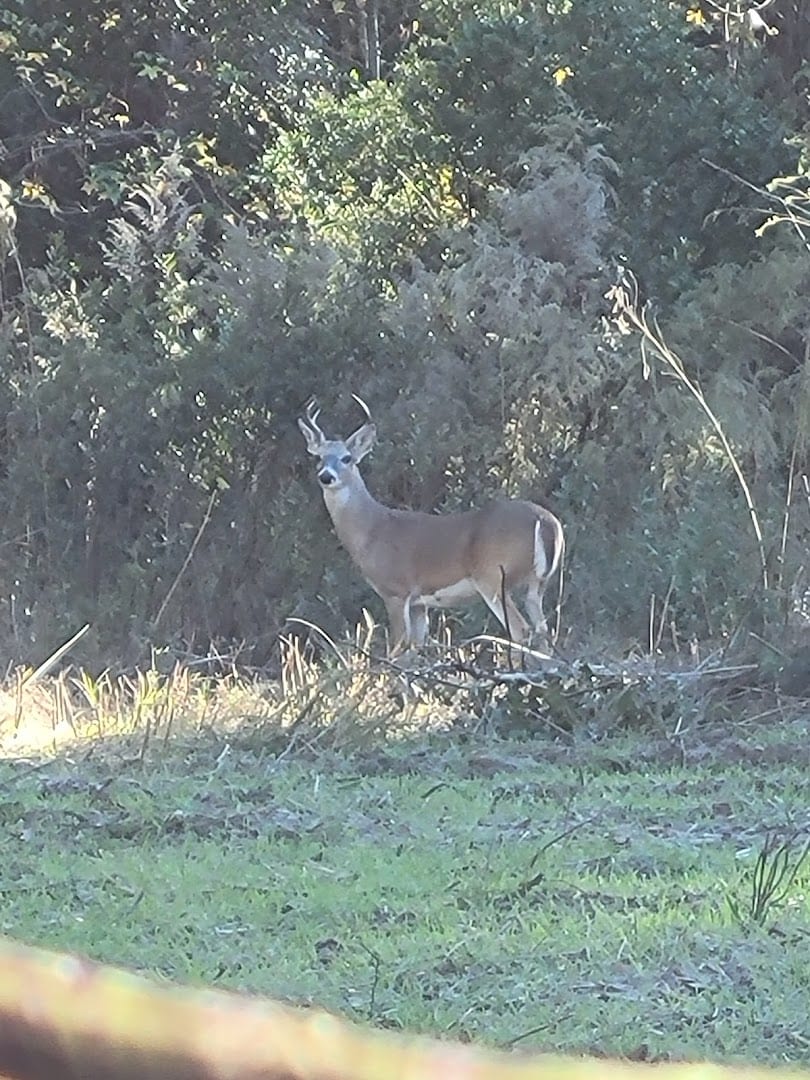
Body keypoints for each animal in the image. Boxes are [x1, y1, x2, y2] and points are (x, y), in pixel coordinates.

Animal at [298, 398, 565, 655]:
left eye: (347, 458)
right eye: (318, 457)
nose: (326, 476)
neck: (372, 530)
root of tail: (546, 522)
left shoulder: (396, 590)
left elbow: (396, 651)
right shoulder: (419, 603)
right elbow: (416, 650)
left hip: (493, 578)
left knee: (522, 631)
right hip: (537, 584)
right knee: (543, 632)